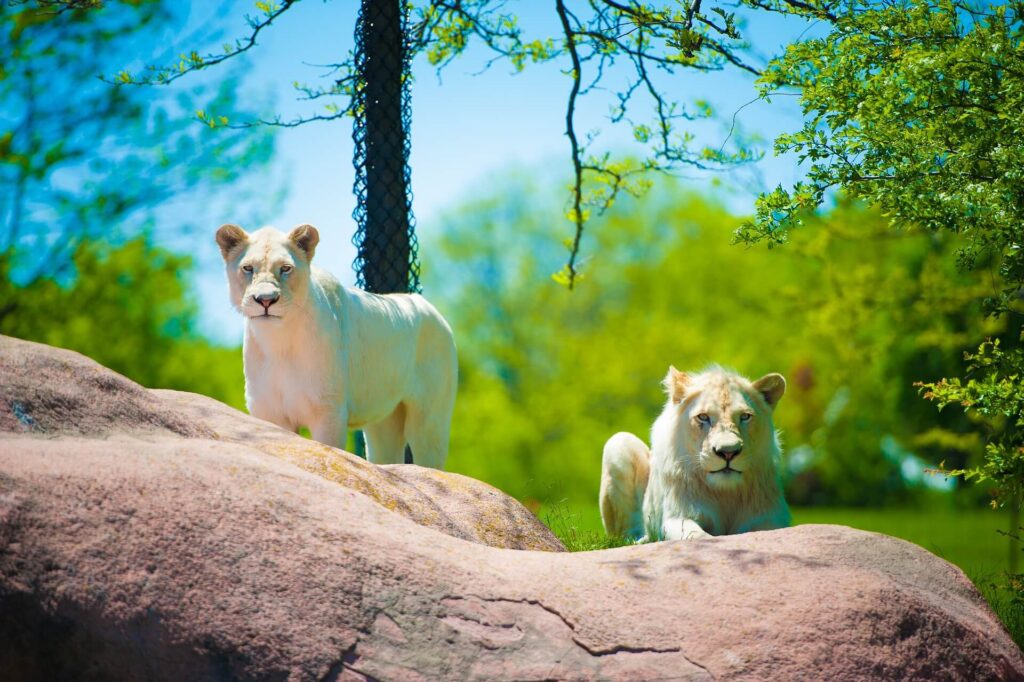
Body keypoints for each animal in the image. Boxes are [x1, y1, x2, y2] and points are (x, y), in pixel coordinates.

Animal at [215, 223, 457, 469]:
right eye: (247, 268)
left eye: (285, 268)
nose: (266, 300)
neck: (278, 342)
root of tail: (431, 308)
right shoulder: (270, 413)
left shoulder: (328, 412)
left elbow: (330, 453)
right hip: (384, 420)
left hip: (429, 418)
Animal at [600, 366, 790, 541]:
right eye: (703, 417)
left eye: (745, 416)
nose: (728, 452)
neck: (725, 493)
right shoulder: (678, 516)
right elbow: (698, 536)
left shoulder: (770, 517)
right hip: (618, 442)